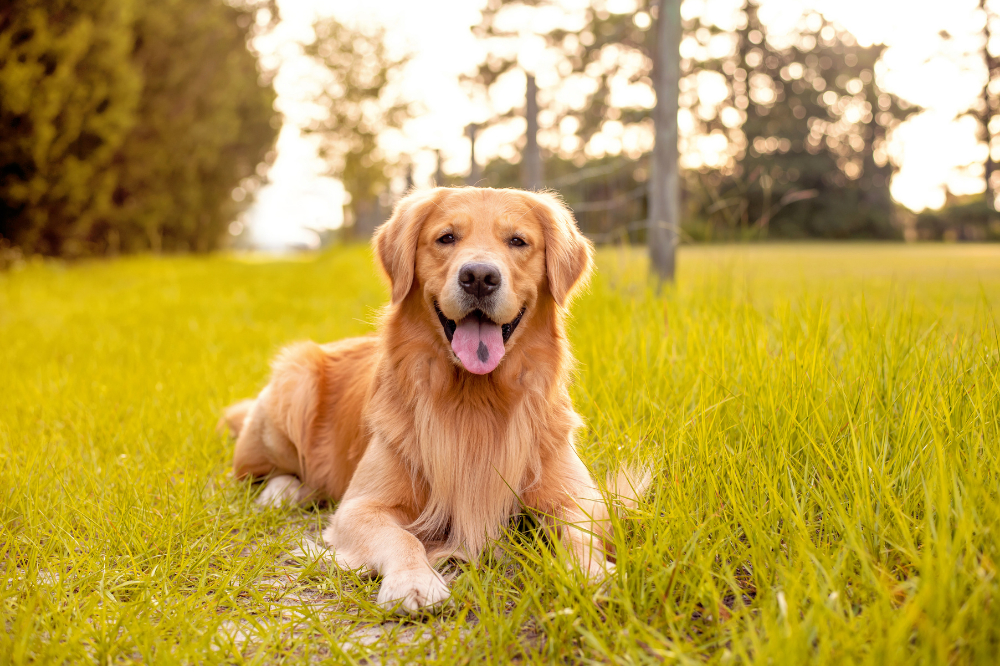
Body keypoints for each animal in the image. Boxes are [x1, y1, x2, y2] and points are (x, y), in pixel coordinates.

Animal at [223, 185, 644, 612]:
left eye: (517, 241)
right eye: (446, 238)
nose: (479, 277)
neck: (475, 400)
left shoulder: (578, 496)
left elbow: (579, 533)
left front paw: (593, 575)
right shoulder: (361, 506)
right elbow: (402, 536)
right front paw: (414, 580)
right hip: (295, 381)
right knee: (256, 473)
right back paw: (282, 492)